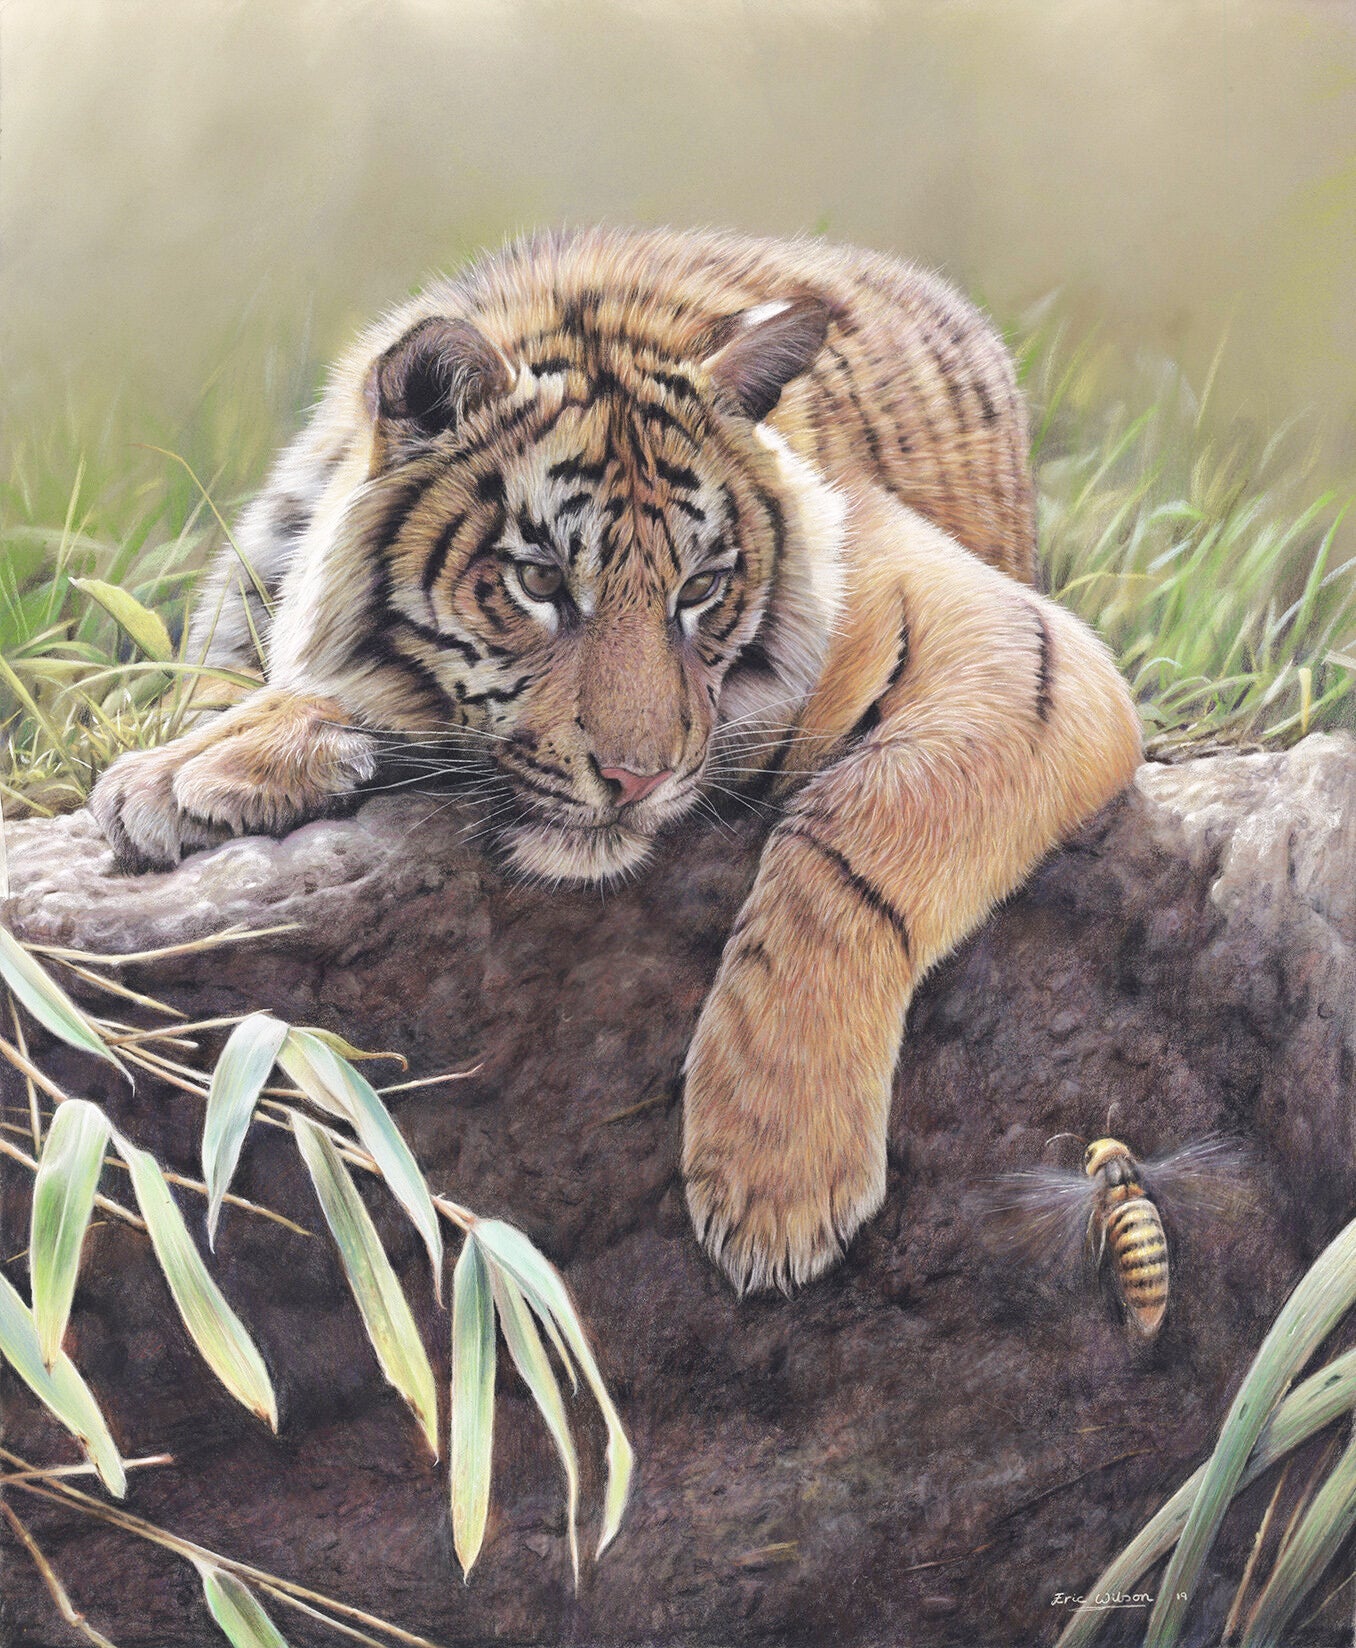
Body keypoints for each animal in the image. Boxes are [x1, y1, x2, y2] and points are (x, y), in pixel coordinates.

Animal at [90, 226, 1142, 1293]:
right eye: (539, 580)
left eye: (703, 588)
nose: (639, 779)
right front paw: (186, 771)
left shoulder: (1016, 649)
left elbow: (856, 842)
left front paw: (775, 1178)